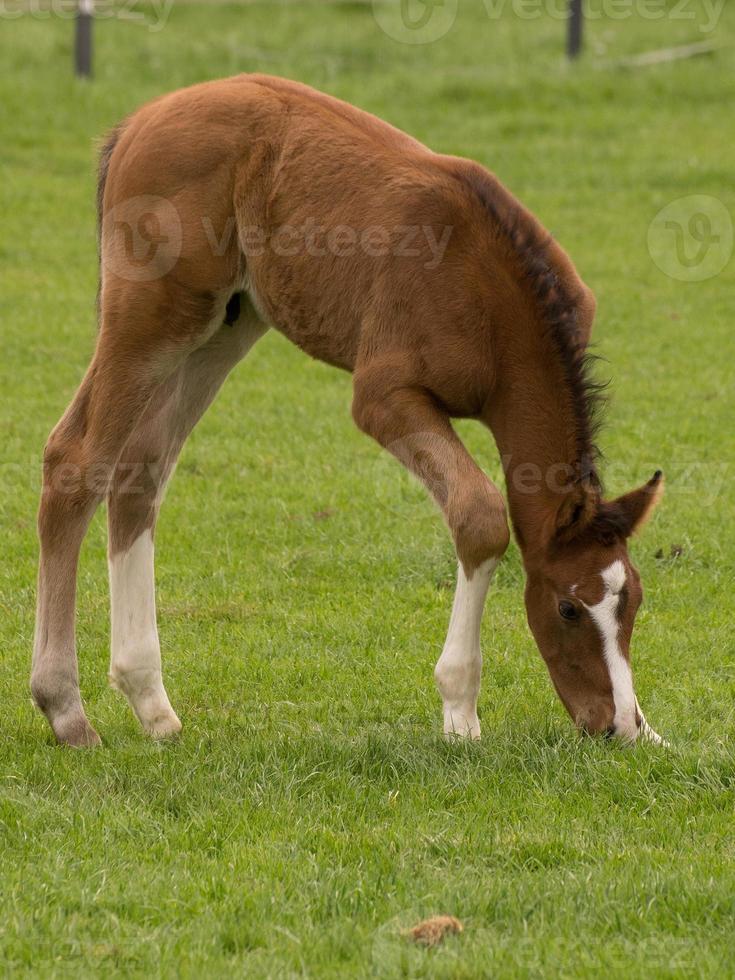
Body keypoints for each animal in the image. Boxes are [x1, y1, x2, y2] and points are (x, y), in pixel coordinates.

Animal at [30, 76, 668, 748]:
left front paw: (651, 730)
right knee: (76, 458)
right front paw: (460, 711)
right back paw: (66, 708)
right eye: (568, 607)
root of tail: (138, 120)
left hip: (222, 327)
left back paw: (151, 702)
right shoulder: (385, 397)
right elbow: (481, 516)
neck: (498, 300)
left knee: (139, 471)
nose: (616, 725)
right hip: (151, 317)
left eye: (633, 602)